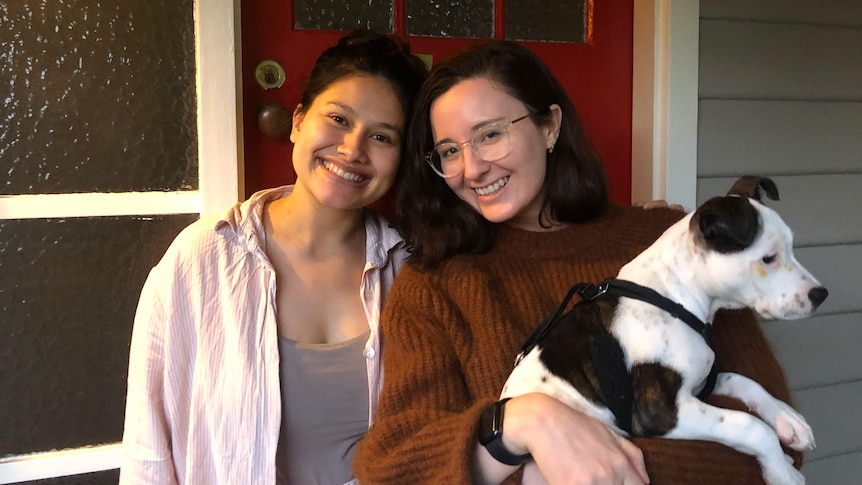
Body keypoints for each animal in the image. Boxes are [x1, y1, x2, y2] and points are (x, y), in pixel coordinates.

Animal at [502, 176, 828, 484]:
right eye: (768, 258)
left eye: (791, 248)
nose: (821, 294)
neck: (673, 298)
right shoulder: (660, 412)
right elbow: (750, 426)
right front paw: (782, 471)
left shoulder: (700, 385)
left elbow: (744, 382)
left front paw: (788, 419)